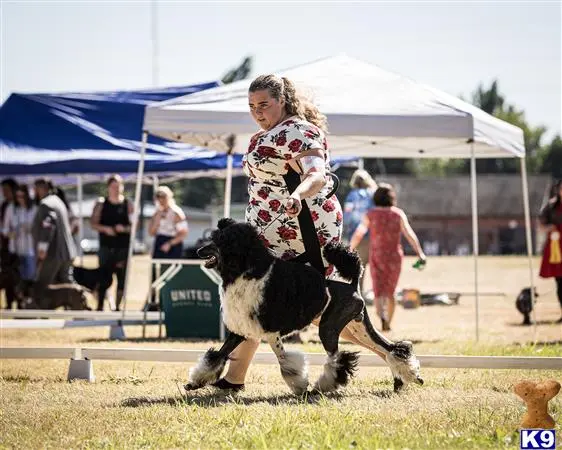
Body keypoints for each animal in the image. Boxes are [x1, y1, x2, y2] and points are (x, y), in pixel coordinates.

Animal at [184, 218, 420, 394]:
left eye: (219, 240)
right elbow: (217, 355)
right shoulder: (241, 330)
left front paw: (300, 386)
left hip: (329, 328)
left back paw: (325, 386)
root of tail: (353, 285)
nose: (198, 251)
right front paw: (194, 383)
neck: (247, 272)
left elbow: (285, 362)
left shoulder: (271, 332)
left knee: (338, 359)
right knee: (390, 348)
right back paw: (406, 379)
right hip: (357, 328)